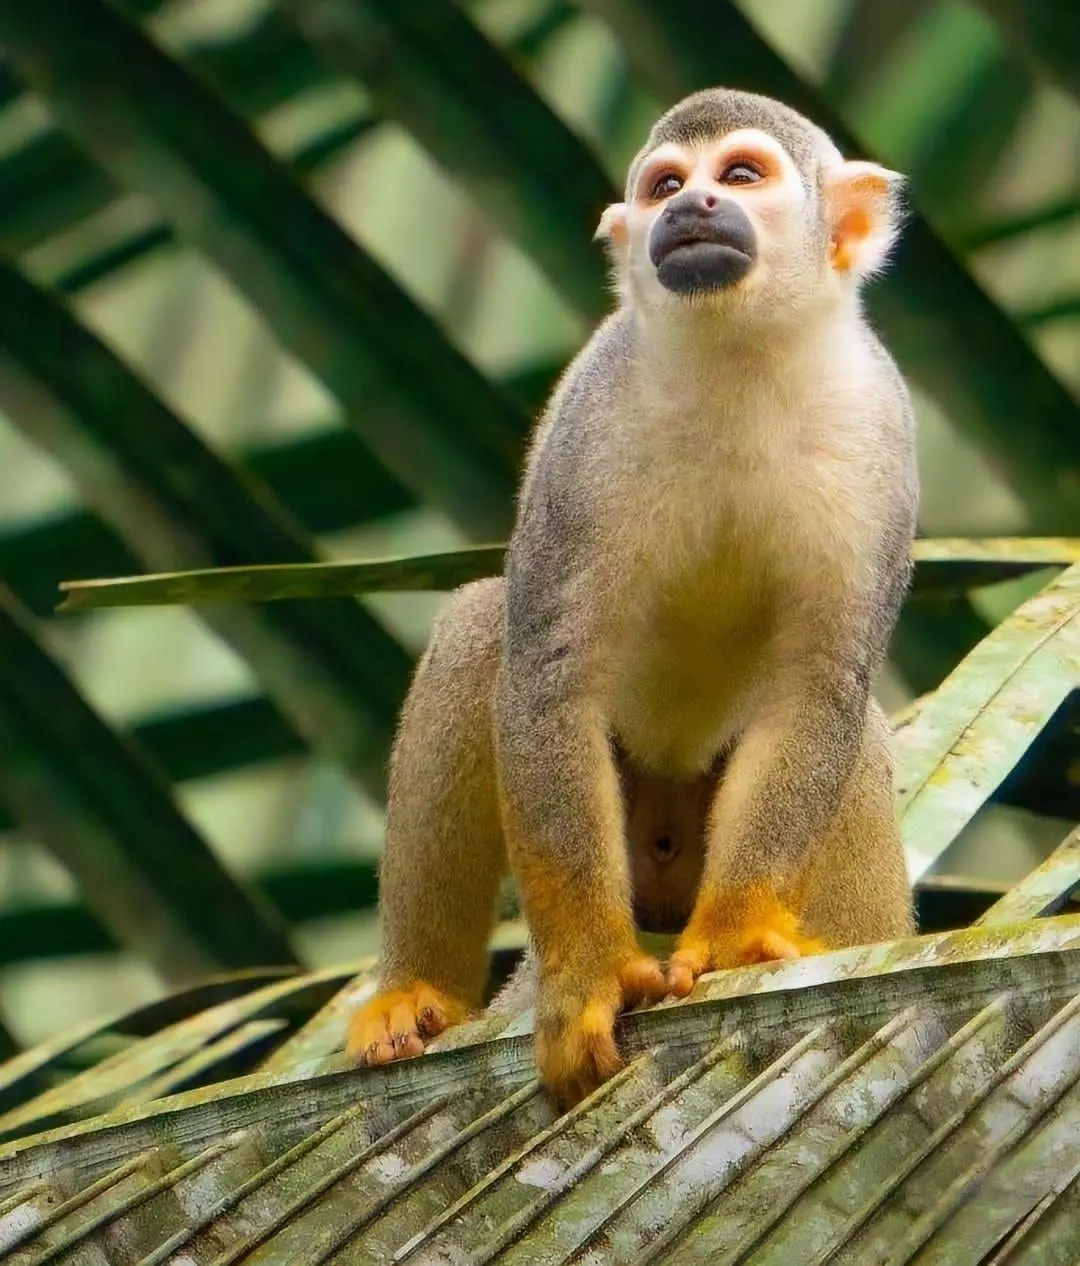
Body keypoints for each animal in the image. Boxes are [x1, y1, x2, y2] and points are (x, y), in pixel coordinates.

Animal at [347, 88, 918, 1107]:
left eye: (740, 175)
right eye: (664, 185)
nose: (689, 208)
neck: (738, 353)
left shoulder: (882, 438)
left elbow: (820, 686)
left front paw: (734, 936)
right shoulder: (590, 418)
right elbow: (549, 672)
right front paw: (589, 977)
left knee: (854, 729)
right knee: (483, 630)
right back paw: (417, 993)